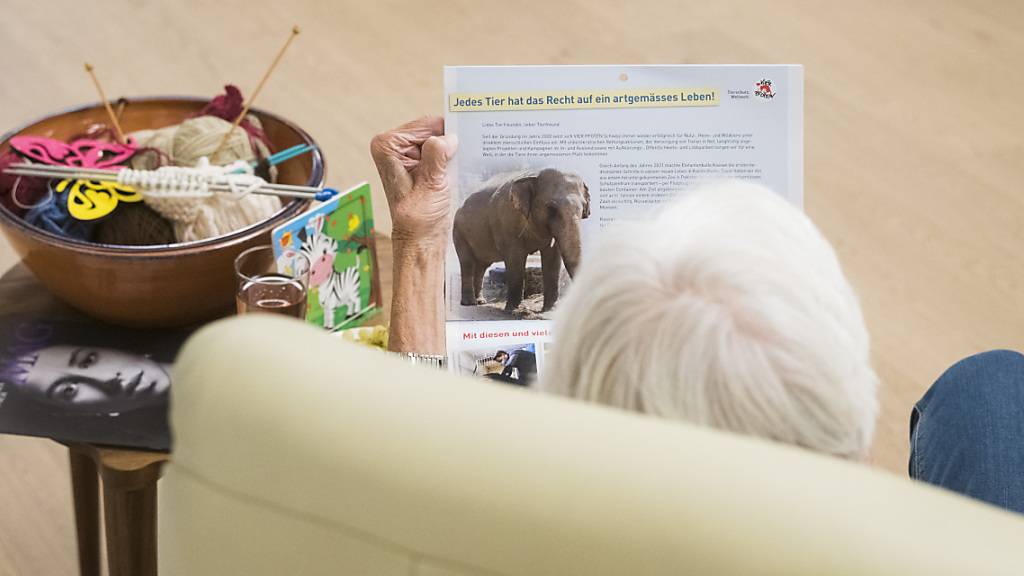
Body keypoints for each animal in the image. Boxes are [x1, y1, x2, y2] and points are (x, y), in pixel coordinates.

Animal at [452, 167, 589, 309]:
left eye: (583, 207)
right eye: (551, 208)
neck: (534, 174)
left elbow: (553, 259)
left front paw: (550, 309)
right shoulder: (506, 221)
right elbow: (515, 257)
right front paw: (514, 309)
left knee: (482, 266)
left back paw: (480, 301)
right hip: (458, 233)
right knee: (467, 262)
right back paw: (469, 303)